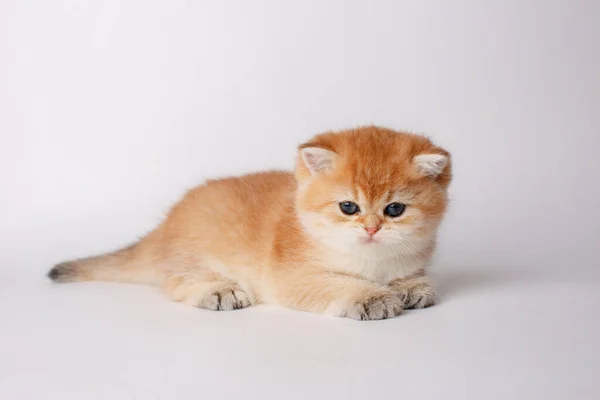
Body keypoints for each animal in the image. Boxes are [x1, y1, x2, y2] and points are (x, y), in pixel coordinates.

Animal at [49, 126, 452, 320]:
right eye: (348, 207)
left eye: (395, 210)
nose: (371, 228)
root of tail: (163, 227)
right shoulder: (293, 278)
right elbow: (336, 284)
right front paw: (371, 297)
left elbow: (411, 277)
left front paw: (411, 287)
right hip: (195, 257)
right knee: (175, 282)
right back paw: (218, 291)